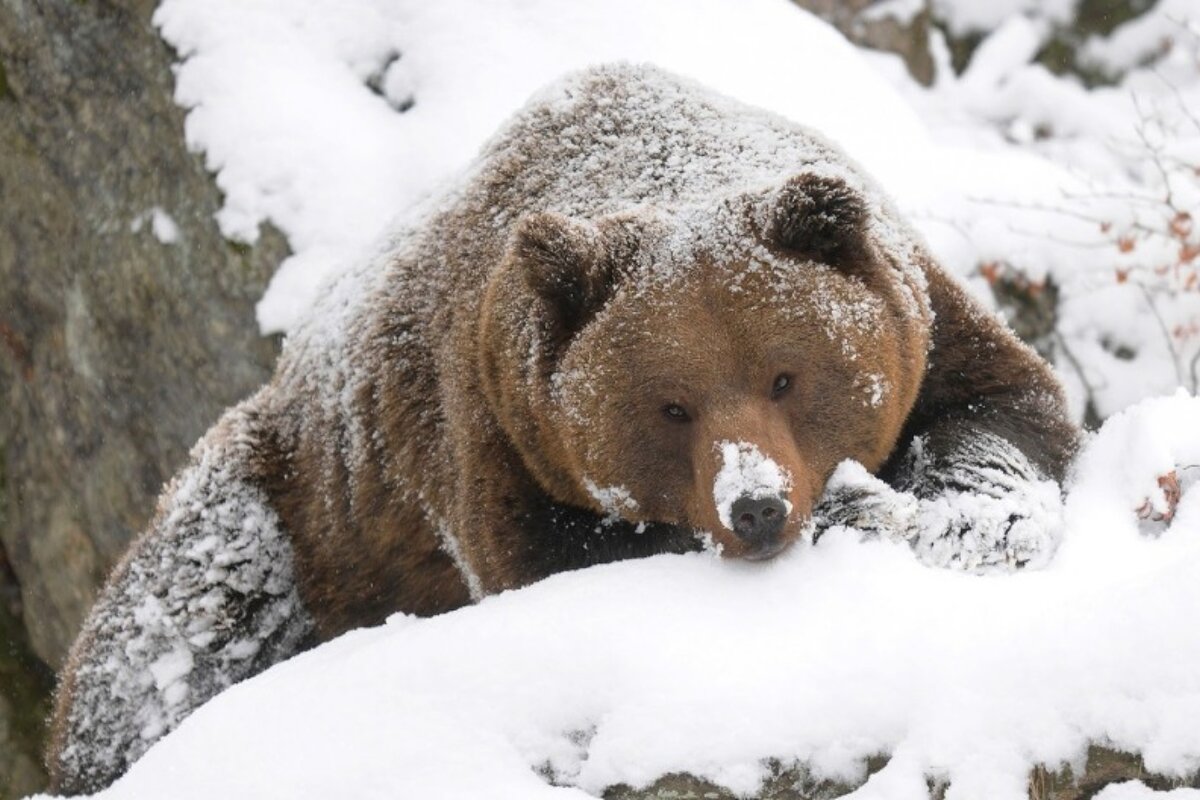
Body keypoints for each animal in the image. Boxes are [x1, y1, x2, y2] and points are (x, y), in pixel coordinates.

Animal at [46, 63, 1079, 794]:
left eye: (786, 375)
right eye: (671, 405)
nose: (755, 506)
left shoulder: (924, 318)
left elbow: (1006, 407)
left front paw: (976, 519)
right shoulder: (492, 429)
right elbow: (560, 557)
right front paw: (855, 511)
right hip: (294, 507)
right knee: (171, 632)